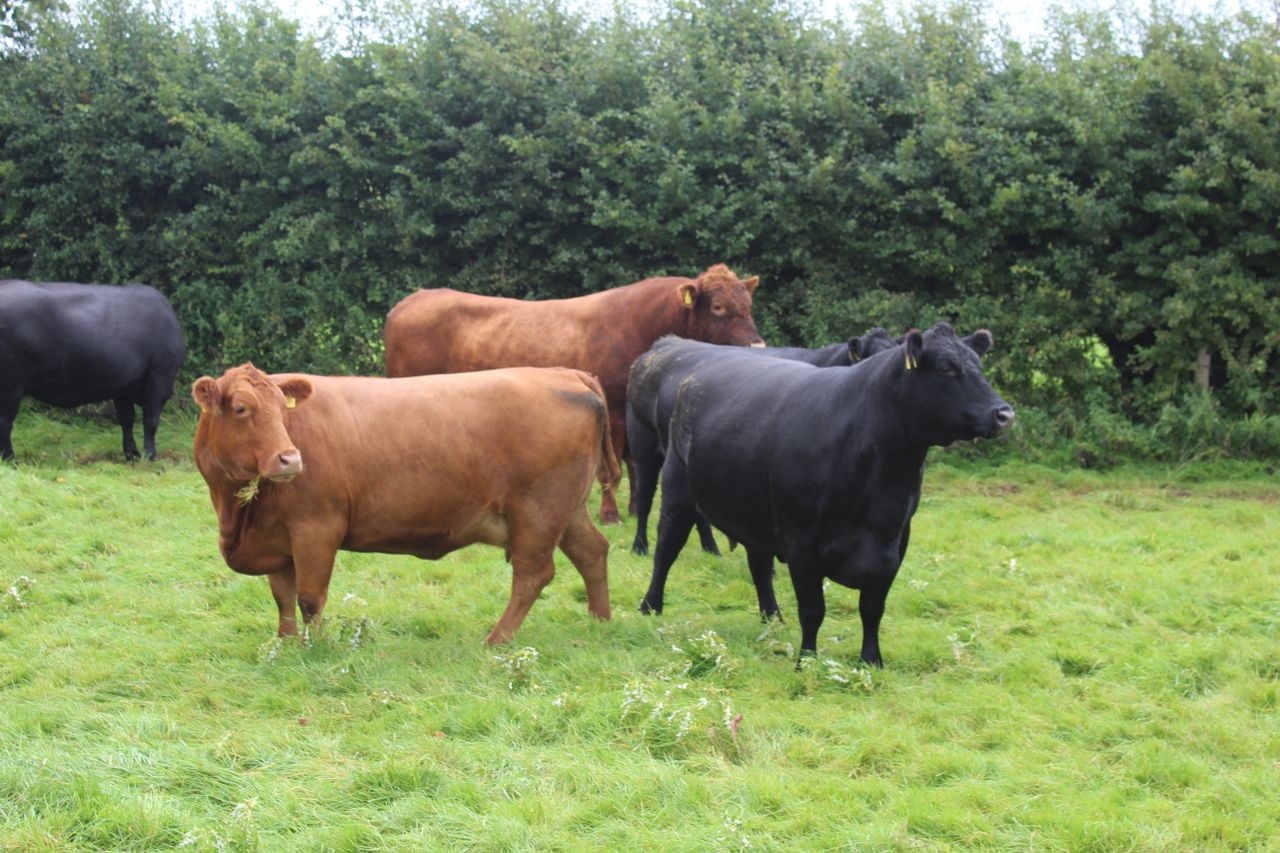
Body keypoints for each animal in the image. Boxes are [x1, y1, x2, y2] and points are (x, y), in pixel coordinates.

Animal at [0, 280, 185, 461]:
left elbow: (127, 419)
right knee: (5, 422)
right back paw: (10, 459)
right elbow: (151, 421)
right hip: (12, 384)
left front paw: (132, 454)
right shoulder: (160, 376)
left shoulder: (122, 386)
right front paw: (150, 456)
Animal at [191, 363, 618, 644]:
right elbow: (282, 596)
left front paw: (316, 648)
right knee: (592, 552)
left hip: (537, 511)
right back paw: (599, 620)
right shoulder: (277, 540)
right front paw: (286, 644)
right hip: (567, 509)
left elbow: (310, 599)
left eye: (283, 410)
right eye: (241, 408)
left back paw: (497, 639)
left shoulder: (316, 528)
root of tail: (565, 373)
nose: (290, 459)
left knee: (533, 574)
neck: (239, 515)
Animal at [382, 264, 766, 524]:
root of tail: (415, 298)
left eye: (749, 304)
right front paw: (610, 513)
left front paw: (632, 507)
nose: (758, 346)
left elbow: (634, 463)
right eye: (718, 307)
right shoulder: (612, 409)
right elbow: (612, 468)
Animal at [626, 328, 903, 557]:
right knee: (644, 496)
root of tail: (666, 343)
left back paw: (711, 549)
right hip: (644, 443)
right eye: (869, 357)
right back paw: (640, 546)